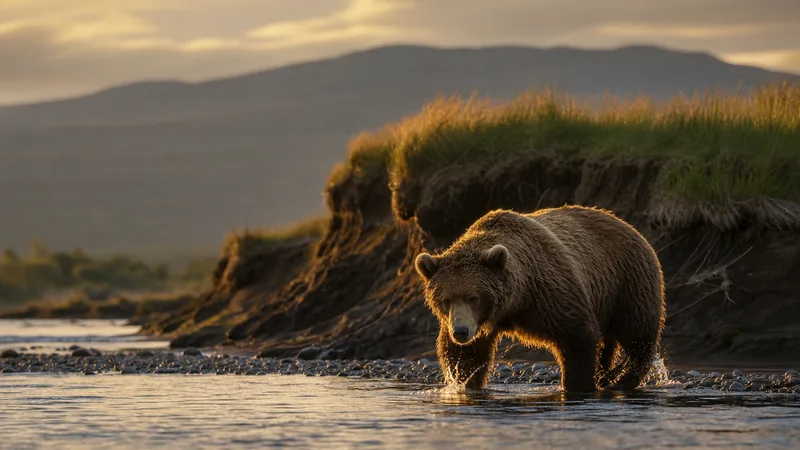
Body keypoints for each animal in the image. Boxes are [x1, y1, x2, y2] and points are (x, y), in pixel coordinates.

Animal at [414, 204, 666, 393]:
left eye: (473, 297)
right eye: (446, 299)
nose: (460, 332)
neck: (516, 300)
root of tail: (625, 223)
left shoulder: (548, 292)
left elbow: (577, 336)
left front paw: (578, 385)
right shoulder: (479, 322)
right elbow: (467, 356)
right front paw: (464, 381)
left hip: (627, 281)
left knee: (637, 333)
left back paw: (621, 379)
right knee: (609, 341)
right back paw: (607, 374)